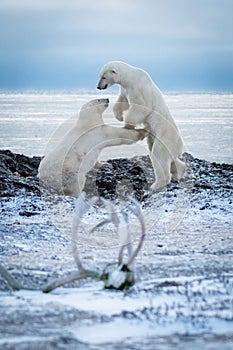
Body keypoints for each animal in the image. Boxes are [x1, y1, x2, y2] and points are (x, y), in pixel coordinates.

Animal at [96, 60, 186, 191]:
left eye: (103, 77)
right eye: (100, 75)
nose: (98, 87)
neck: (131, 77)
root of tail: (180, 144)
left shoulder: (139, 89)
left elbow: (141, 108)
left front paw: (127, 124)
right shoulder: (125, 89)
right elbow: (122, 102)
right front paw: (119, 116)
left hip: (165, 137)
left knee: (159, 155)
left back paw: (156, 185)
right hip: (156, 138)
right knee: (168, 157)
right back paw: (179, 172)